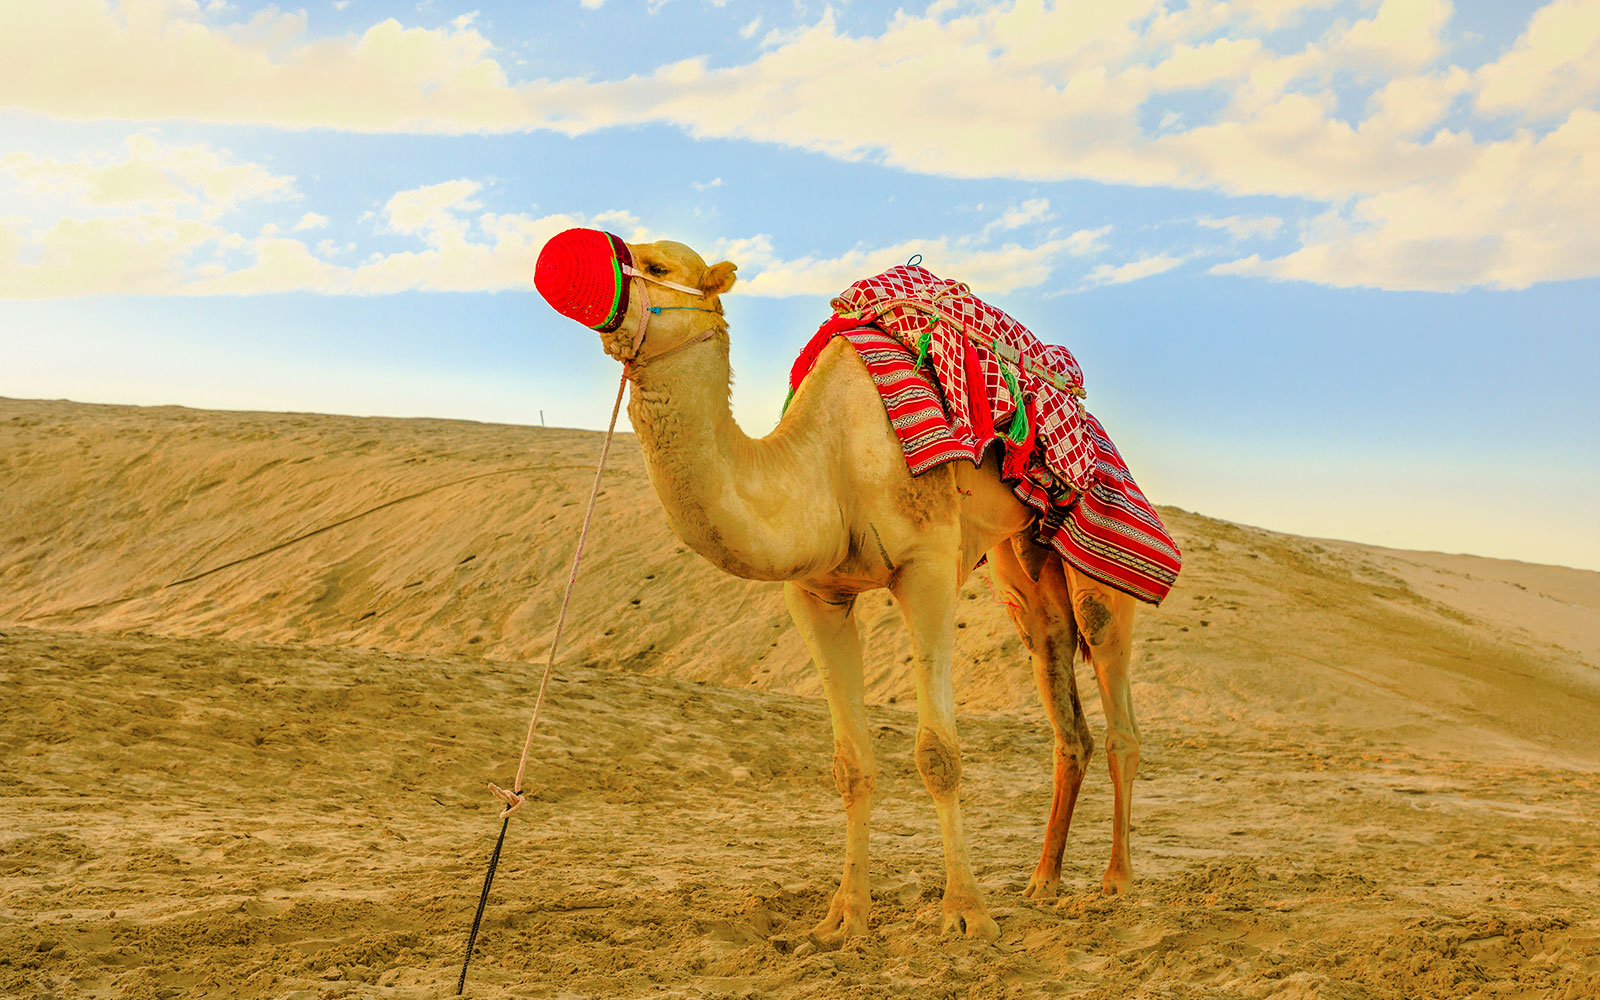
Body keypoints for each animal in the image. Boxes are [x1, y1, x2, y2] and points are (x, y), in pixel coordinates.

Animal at [573, 238, 1141, 943]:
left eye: (658, 267)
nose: (582, 262)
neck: (826, 463)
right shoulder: (815, 595)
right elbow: (850, 765)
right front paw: (843, 918)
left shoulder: (927, 567)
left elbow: (938, 754)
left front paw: (966, 913)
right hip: (1020, 560)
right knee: (1061, 689)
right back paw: (1043, 881)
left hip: (1093, 540)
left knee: (1115, 698)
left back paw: (1117, 882)